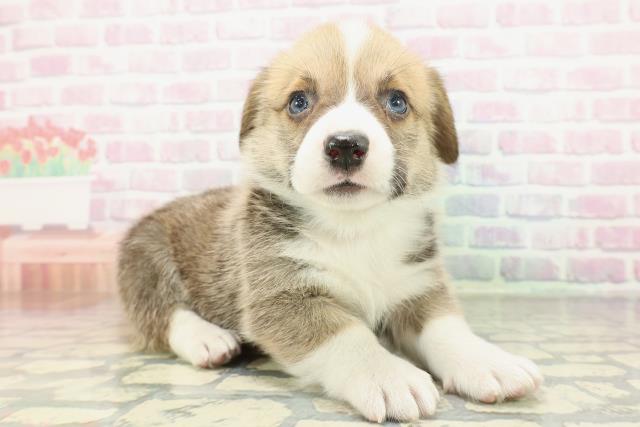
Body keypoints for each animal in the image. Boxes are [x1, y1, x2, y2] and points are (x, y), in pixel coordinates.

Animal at [118, 22, 542, 422]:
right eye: (298, 101)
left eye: (397, 101)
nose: (345, 146)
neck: (355, 228)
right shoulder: (283, 299)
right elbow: (347, 334)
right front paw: (388, 375)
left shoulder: (418, 286)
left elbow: (447, 327)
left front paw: (488, 362)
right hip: (147, 258)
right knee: (162, 314)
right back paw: (208, 340)